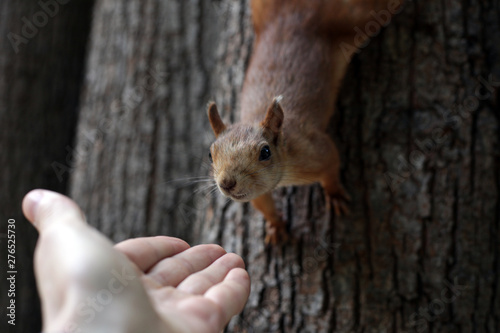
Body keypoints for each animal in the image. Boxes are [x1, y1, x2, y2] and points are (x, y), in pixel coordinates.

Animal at [208, 0, 402, 244]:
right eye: (210, 154)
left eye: (265, 152)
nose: (226, 183)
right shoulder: (256, 192)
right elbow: (263, 205)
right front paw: (275, 225)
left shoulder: (314, 150)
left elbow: (331, 166)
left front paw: (334, 194)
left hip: (357, 15)